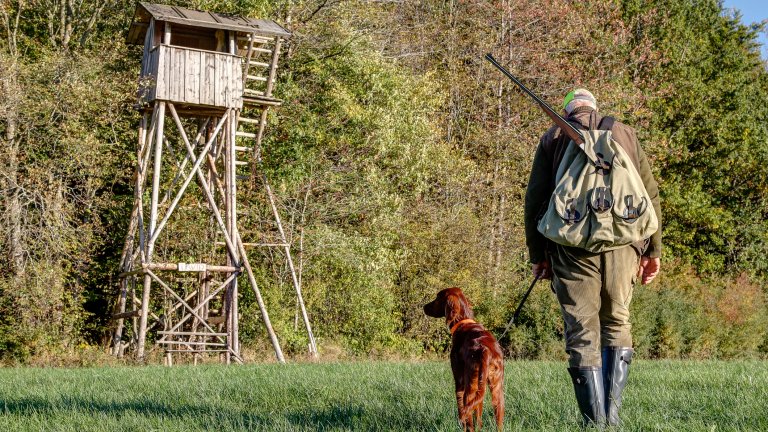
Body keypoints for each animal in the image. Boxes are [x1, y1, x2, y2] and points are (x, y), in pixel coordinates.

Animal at [426, 286, 504, 432]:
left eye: (437, 297)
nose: (423, 306)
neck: (463, 322)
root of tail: (485, 350)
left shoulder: (459, 382)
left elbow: (462, 410)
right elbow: (478, 412)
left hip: (469, 386)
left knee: (467, 416)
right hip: (497, 388)